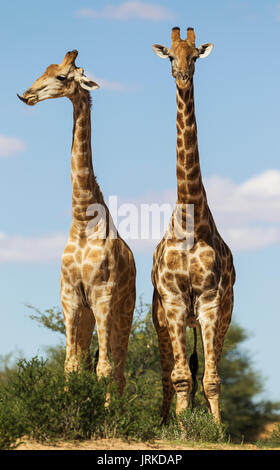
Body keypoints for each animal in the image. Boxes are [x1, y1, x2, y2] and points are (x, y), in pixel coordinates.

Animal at [17, 49, 136, 392]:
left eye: (61, 76)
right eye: (44, 70)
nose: (26, 95)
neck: (83, 220)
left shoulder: (103, 296)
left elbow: (104, 369)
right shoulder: (70, 298)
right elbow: (70, 368)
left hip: (123, 311)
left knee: (118, 371)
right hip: (86, 315)